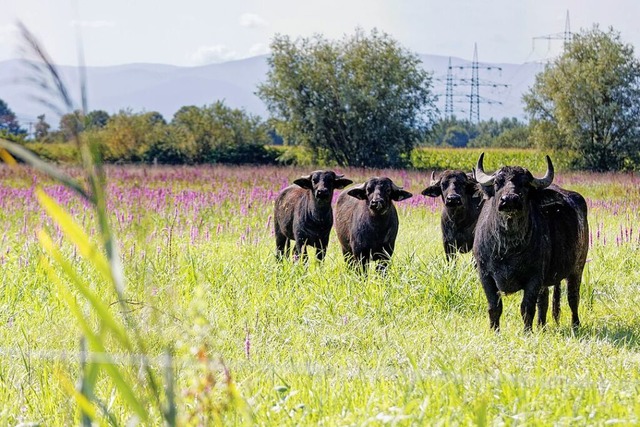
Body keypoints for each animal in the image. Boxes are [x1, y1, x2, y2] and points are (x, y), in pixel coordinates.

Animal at [472, 155, 588, 332]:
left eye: (525, 184)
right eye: (498, 182)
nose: (510, 200)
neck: (508, 247)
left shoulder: (534, 277)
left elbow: (527, 308)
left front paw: (527, 332)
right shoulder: (485, 275)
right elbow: (494, 307)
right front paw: (494, 331)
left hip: (577, 267)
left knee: (573, 297)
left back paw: (575, 325)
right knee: (544, 300)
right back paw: (541, 326)